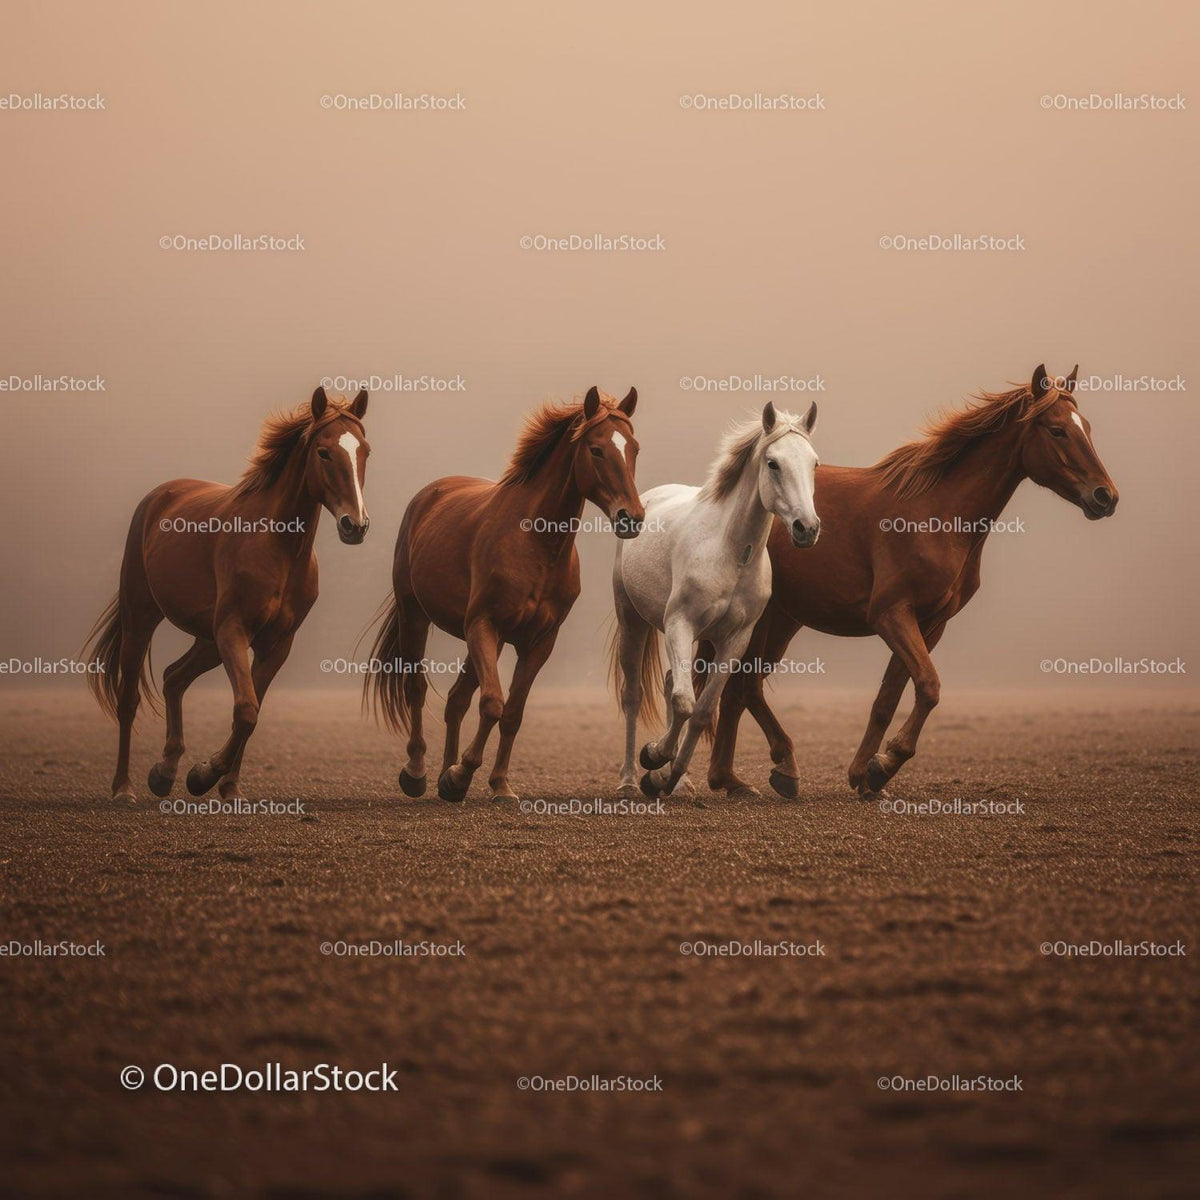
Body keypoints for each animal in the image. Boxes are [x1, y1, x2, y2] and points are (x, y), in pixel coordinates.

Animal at [85, 386, 371, 804]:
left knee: (173, 678)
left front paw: (229, 787)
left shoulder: (276, 644)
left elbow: (252, 713)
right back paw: (124, 788)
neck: (279, 548)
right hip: (144, 618)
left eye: (365, 450)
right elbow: (246, 709)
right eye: (323, 451)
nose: (356, 525)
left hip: (207, 640)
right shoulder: (233, 630)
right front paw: (202, 776)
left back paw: (164, 772)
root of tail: (159, 496)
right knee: (128, 699)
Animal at [366, 386, 644, 803]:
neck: (536, 544)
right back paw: (417, 773)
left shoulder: (538, 642)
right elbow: (493, 704)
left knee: (456, 701)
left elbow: (512, 713)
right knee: (416, 688)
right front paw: (462, 774)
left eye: (634, 448)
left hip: (480, 641)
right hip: (417, 615)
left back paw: (445, 776)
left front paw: (496, 784)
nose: (632, 518)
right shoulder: (485, 625)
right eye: (596, 449)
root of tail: (430, 495)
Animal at [609, 401, 820, 800]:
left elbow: (703, 710)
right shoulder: (679, 624)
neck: (731, 552)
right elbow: (684, 702)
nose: (807, 528)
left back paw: (677, 782)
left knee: (670, 682)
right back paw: (628, 778)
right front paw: (653, 757)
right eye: (773, 463)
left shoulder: (735, 639)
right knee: (633, 695)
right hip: (634, 619)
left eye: (814, 463)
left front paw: (667, 775)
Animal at [705, 365, 1119, 800]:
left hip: (782, 620)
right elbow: (929, 686)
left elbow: (889, 699)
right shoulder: (892, 615)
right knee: (742, 687)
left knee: (735, 690)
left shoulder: (930, 624)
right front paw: (884, 765)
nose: (1105, 496)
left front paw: (865, 775)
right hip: (761, 621)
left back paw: (730, 779)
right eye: (1057, 430)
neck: (937, 513)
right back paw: (778, 766)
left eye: (1086, 427)